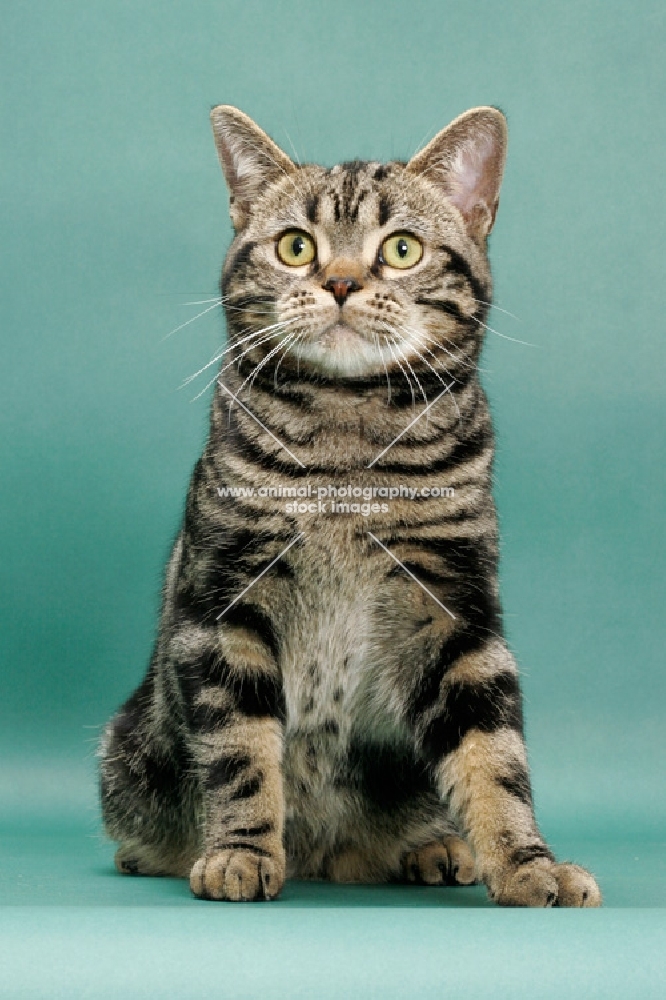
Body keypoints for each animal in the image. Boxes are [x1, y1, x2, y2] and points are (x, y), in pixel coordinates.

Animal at [100, 103, 600, 908]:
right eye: (295, 246)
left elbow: (494, 757)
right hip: (127, 751)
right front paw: (240, 851)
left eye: (400, 249)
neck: (348, 438)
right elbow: (239, 753)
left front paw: (529, 862)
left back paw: (434, 848)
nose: (338, 281)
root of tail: (325, 858)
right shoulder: (224, 604)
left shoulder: (456, 610)